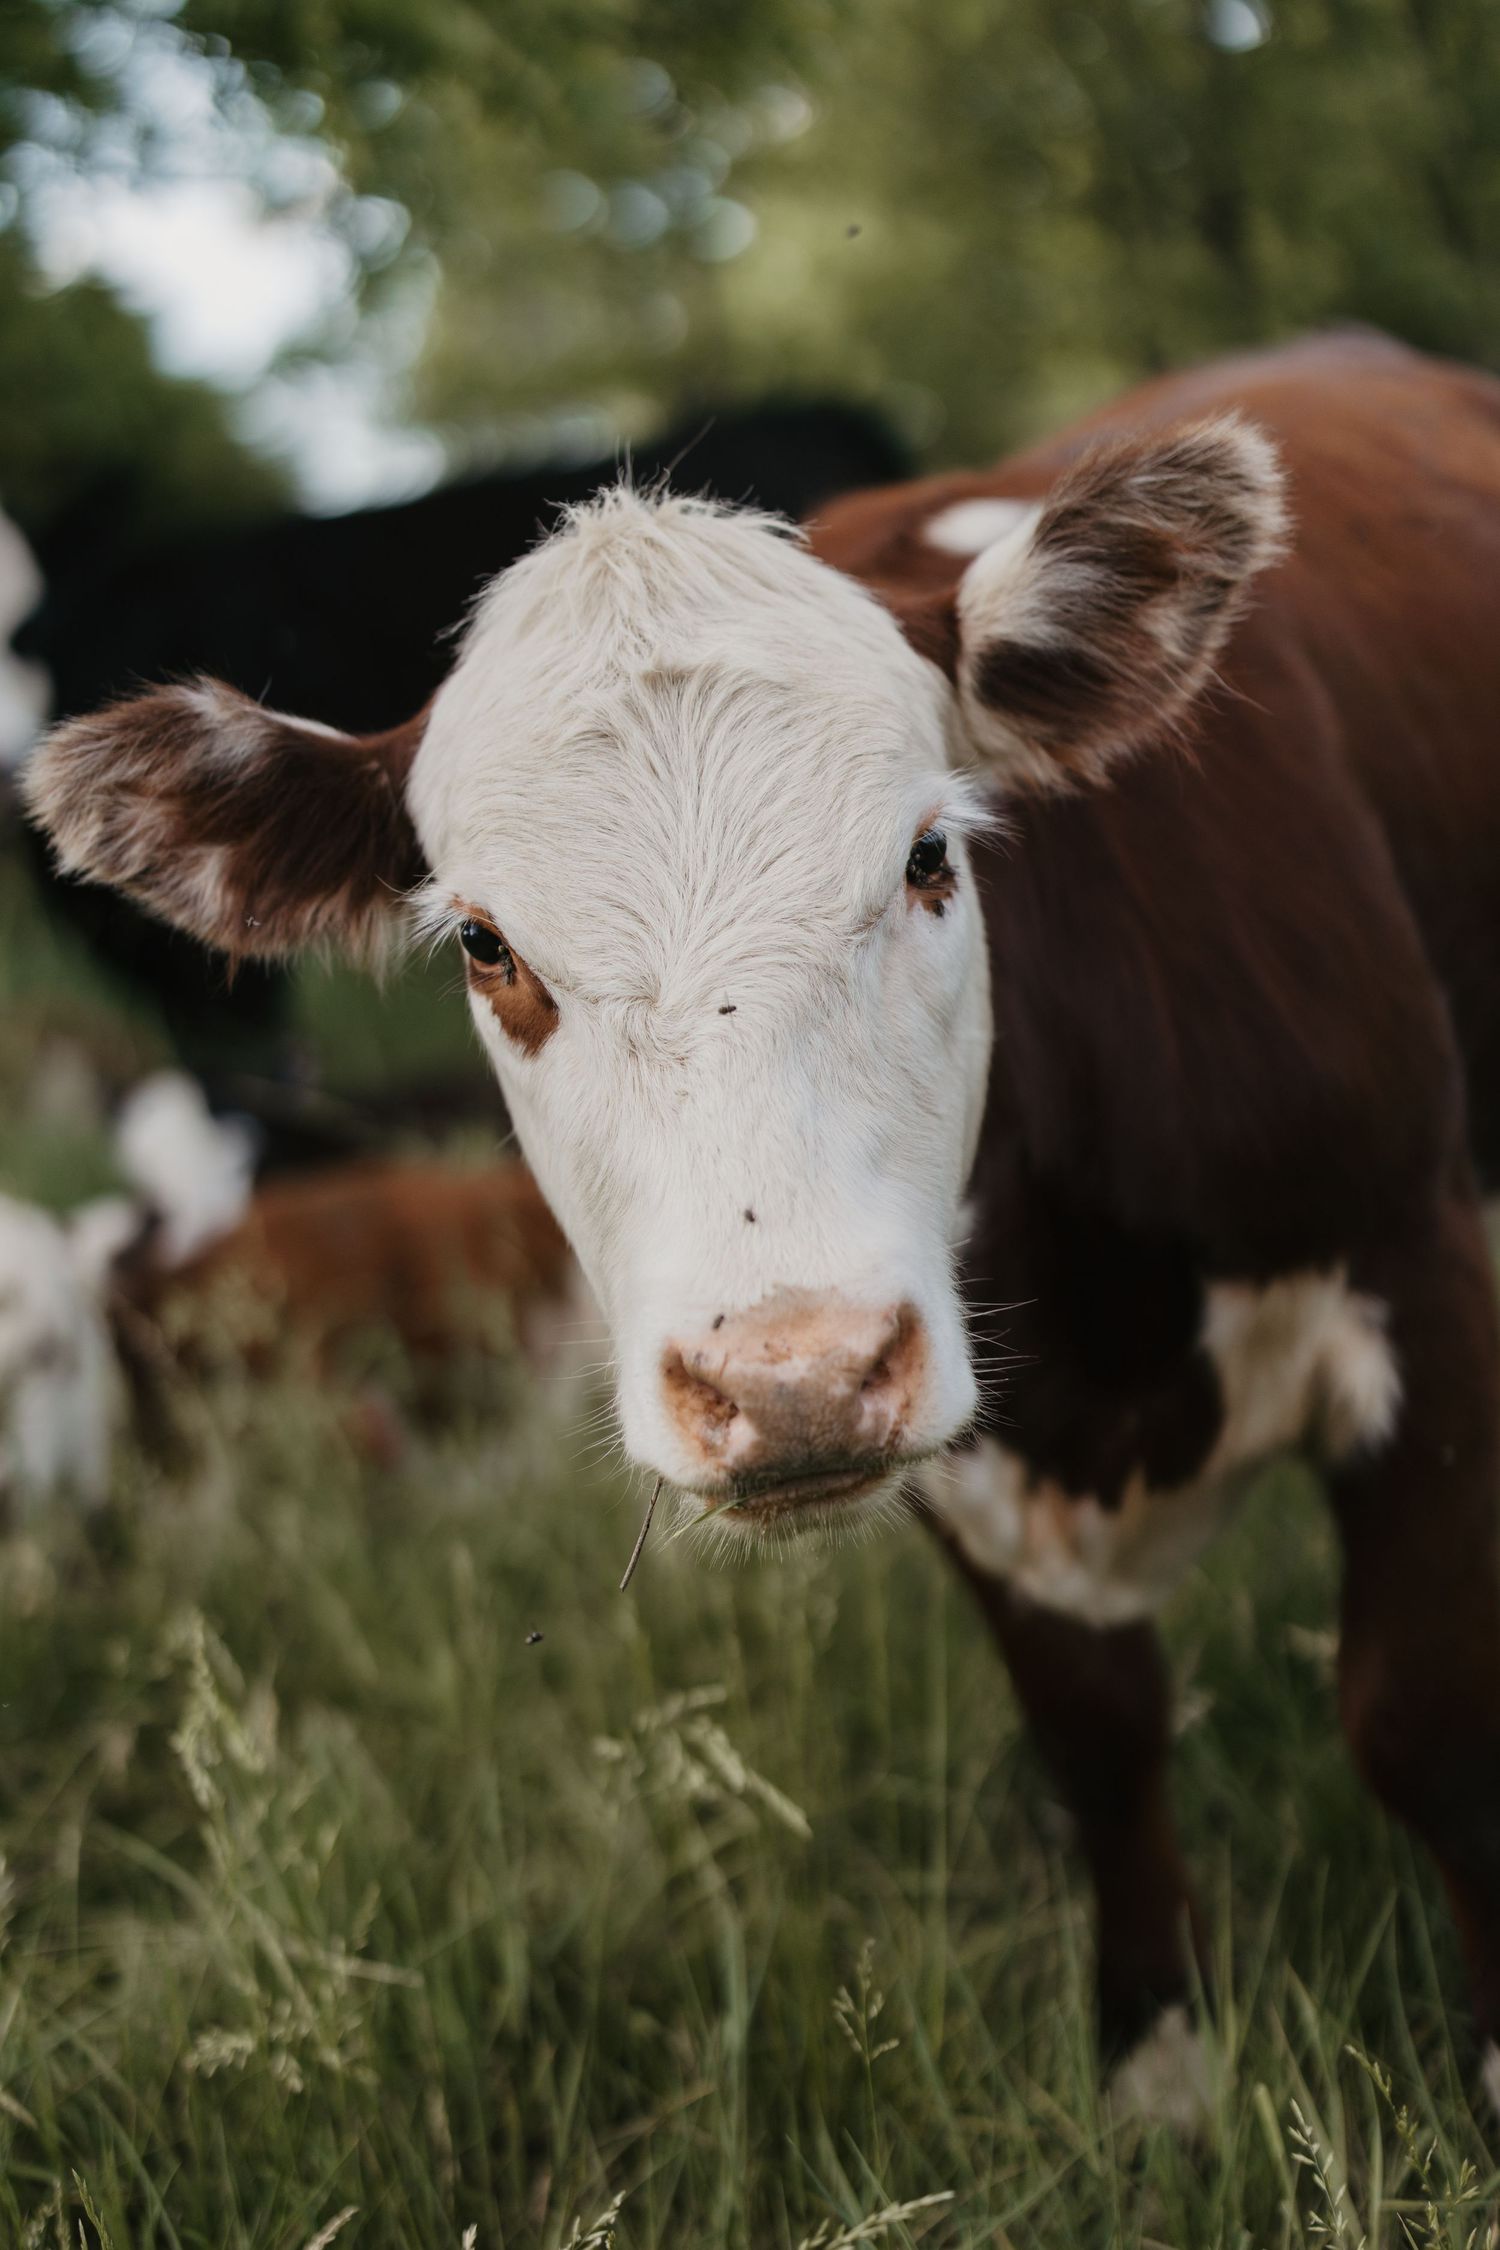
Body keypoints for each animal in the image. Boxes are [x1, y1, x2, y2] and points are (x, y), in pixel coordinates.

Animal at [23, 329, 1500, 2117]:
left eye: (933, 855)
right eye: (487, 947)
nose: (791, 1377)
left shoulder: (1425, 1271)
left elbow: (1426, 1715)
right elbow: (1099, 1736)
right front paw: (1159, 2071)